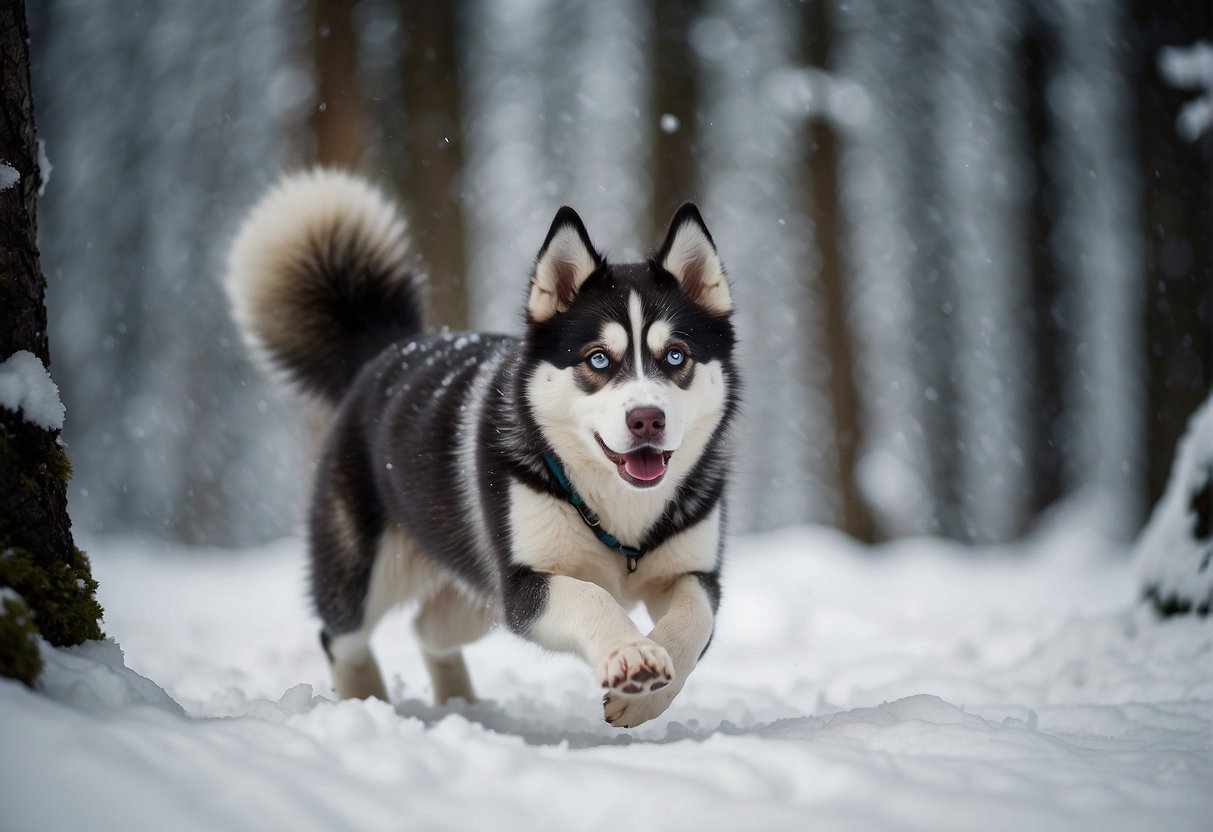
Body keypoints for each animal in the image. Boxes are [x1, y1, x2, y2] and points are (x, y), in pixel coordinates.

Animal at [228, 171, 737, 727]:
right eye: (599, 359)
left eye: (676, 356)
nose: (647, 418)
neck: (621, 513)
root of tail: (389, 350)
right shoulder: (523, 587)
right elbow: (591, 596)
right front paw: (630, 655)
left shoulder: (692, 571)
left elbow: (696, 617)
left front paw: (644, 694)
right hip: (366, 571)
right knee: (342, 635)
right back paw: (367, 702)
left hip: (473, 594)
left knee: (428, 628)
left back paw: (460, 703)